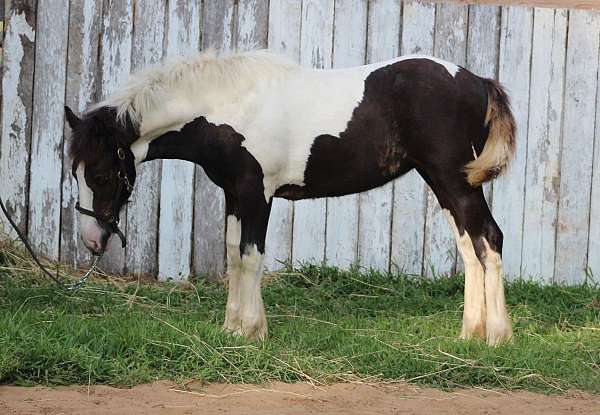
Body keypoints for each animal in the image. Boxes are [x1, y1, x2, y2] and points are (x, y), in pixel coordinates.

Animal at [64, 50, 516, 346]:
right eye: (75, 173)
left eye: (100, 175)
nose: (91, 239)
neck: (228, 106)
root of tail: (477, 81)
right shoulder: (234, 194)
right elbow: (233, 254)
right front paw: (232, 328)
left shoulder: (257, 193)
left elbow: (251, 256)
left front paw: (251, 330)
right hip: (443, 182)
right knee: (470, 246)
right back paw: (469, 334)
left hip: (455, 181)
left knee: (490, 239)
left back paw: (497, 336)